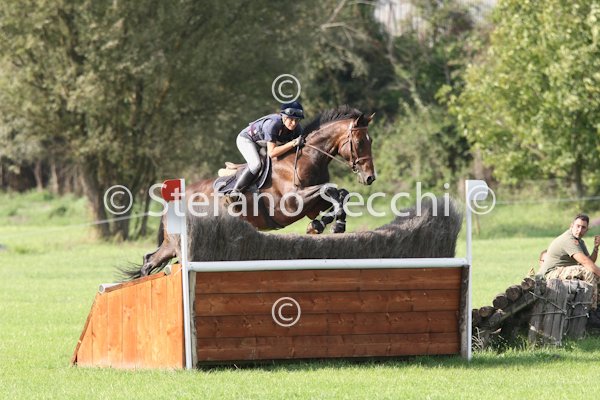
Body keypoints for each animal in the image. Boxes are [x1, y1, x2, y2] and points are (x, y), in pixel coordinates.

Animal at [133, 105, 376, 278]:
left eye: (370, 140)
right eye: (358, 142)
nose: (369, 178)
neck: (307, 158)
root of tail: (171, 201)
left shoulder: (312, 205)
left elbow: (341, 194)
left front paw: (324, 225)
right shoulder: (291, 204)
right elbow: (331, 189)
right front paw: (333, 225)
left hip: (172, 245)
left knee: (149, 260)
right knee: (151, 261)